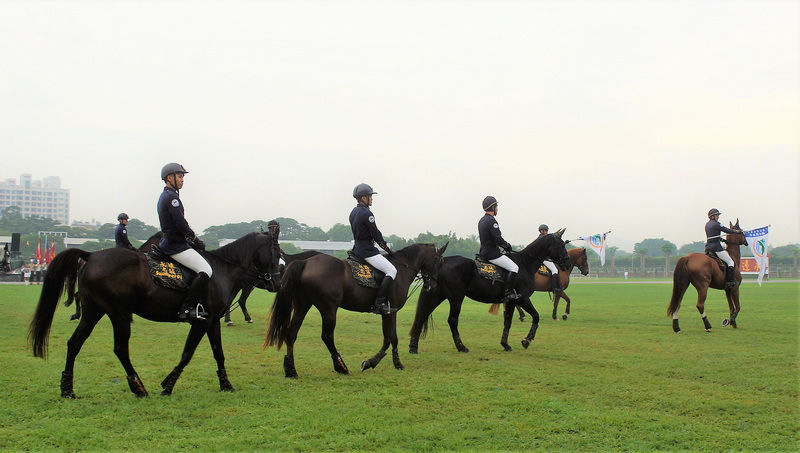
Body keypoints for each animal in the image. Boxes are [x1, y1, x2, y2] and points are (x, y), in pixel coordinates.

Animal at [27, 231, 282, 398]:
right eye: (277, 251)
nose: (278, 282)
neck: (222, 271)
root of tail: (90, 256)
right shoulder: (201, 322)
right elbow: (187, 354)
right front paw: (167, 385)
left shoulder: (211, 321)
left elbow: (219, 354)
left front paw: (226, 385)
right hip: (119, 313)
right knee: (120, 349)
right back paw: (139, 387)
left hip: (94, 312)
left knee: (74, 344)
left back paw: (67, 390)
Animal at [268, 242, 444, 376]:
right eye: (440, 261)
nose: (433, 285)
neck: (402, 269)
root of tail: (306, 262)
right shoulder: (390, 311)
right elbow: (390, 338)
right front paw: (374, 362)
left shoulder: (387, 312)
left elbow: (390, 337)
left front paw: (390, 362)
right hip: (329, 309)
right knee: (327, 336)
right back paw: (341, 366)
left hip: (303, 306)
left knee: (291, 335)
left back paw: (291, 370)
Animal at [410, 230, 572, 354]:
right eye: (560, 245)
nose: (567, 263)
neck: (525, 264)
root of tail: (442, 263)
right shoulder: (523, 298)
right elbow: (536, 316)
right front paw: (526, 340)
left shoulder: (512, 300)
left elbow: (508, 322)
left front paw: (506, 345)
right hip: (456, 298)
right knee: (452, 320)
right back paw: (461, 347)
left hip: (438, 295)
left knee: (423, 314)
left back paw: (413, 346)